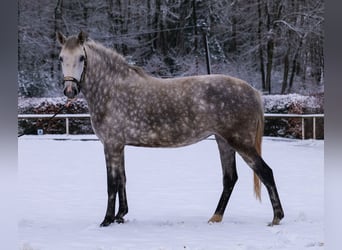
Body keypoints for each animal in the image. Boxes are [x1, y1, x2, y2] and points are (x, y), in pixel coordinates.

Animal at [57, 30, 284, 227]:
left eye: (82, 58)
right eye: (60, 58)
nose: (70, 90)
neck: (112, 89)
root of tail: (253, 92)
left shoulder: (111, 145)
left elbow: (111, 183)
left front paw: (106, 220)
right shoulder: (118, 146)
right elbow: (122, 179)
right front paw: (120, 216)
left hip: (240, 142)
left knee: (265, 172)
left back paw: (276, 218)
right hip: (224, 141)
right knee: (230, 178)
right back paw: (215, 217)